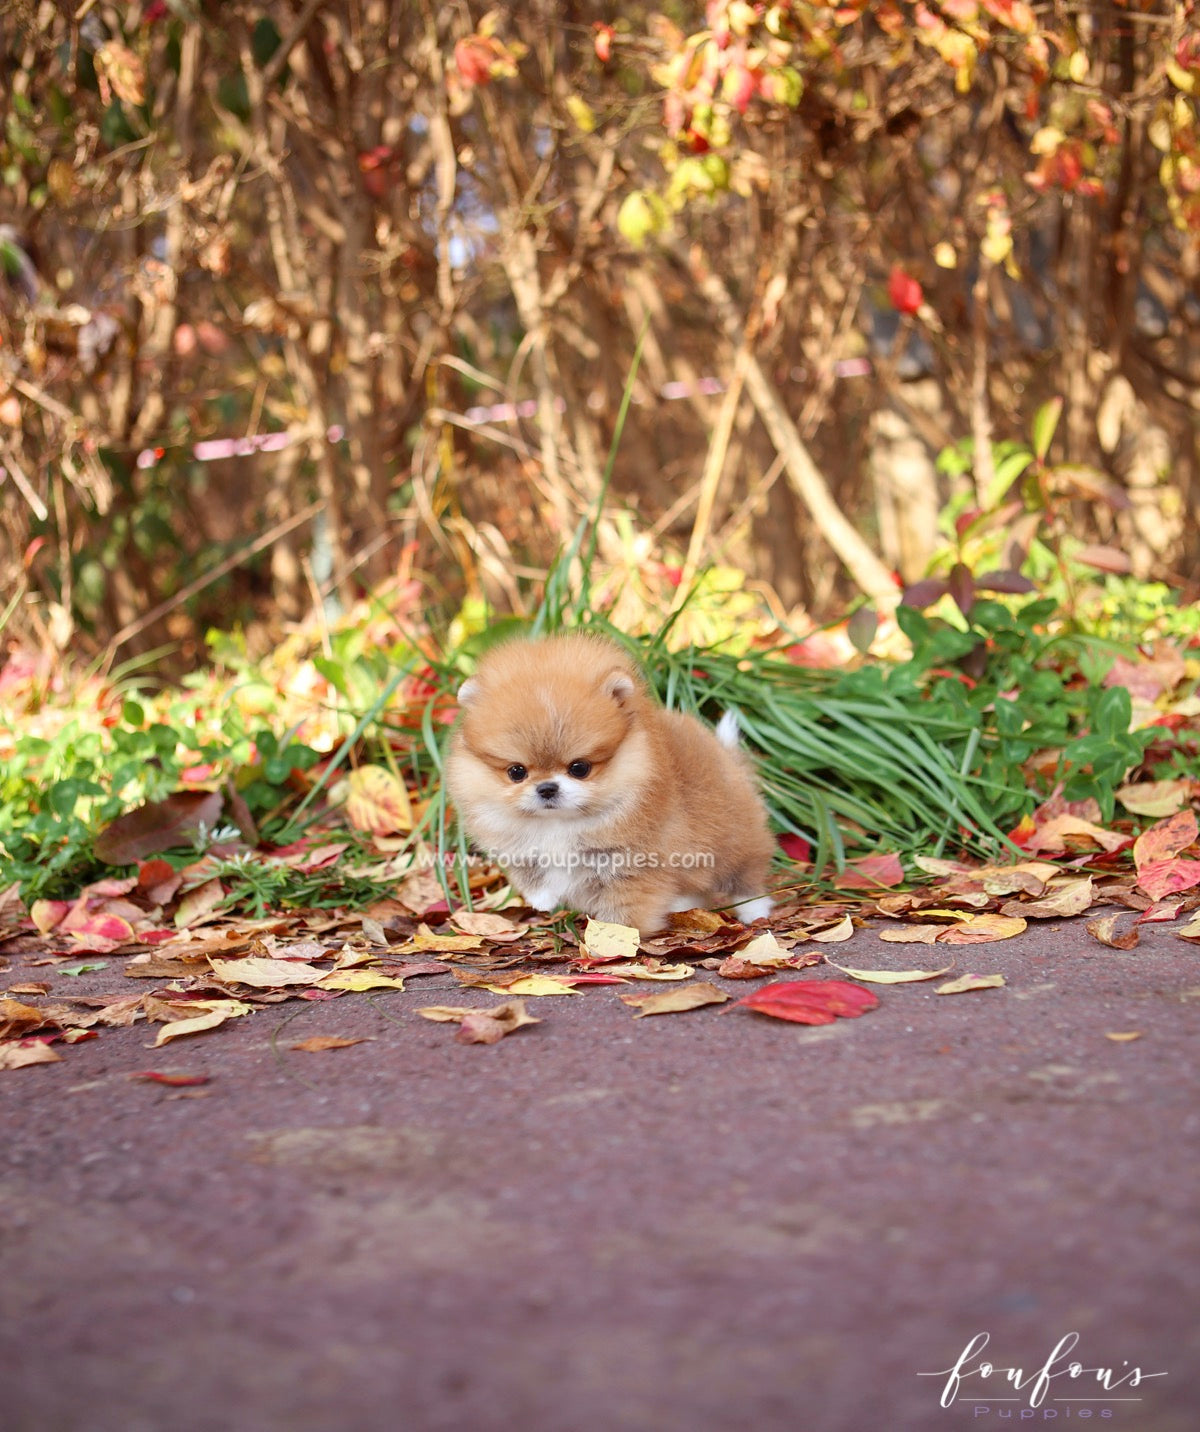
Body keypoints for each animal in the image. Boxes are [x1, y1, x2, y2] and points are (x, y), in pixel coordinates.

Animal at [446, 632, 773, 933]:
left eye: (579, 768)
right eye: (516, 772)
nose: (547, 788)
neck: (558, 826)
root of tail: (726, 755)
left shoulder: (632, 867)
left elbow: (624, 907)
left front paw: (614, 939)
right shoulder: (517, 846)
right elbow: (534, 877)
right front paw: (543, 900)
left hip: (736, 842)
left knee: (747, 879)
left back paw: (754, 911)